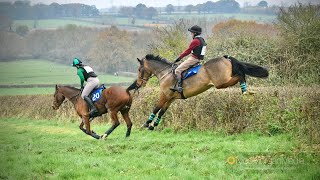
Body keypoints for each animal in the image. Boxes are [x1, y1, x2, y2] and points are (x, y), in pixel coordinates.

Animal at [126, 53, 268, 129]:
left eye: (139, 70)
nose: (138, 84)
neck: (165, 73)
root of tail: (226, 58)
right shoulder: (171, 98)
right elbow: (162, 111)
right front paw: (153, 125)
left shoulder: (165, 95)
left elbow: (156, 108)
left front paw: (146, 124)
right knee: (240, 73)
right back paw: (248, 91)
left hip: (221, 83)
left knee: (240, 74)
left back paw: (245, 91)